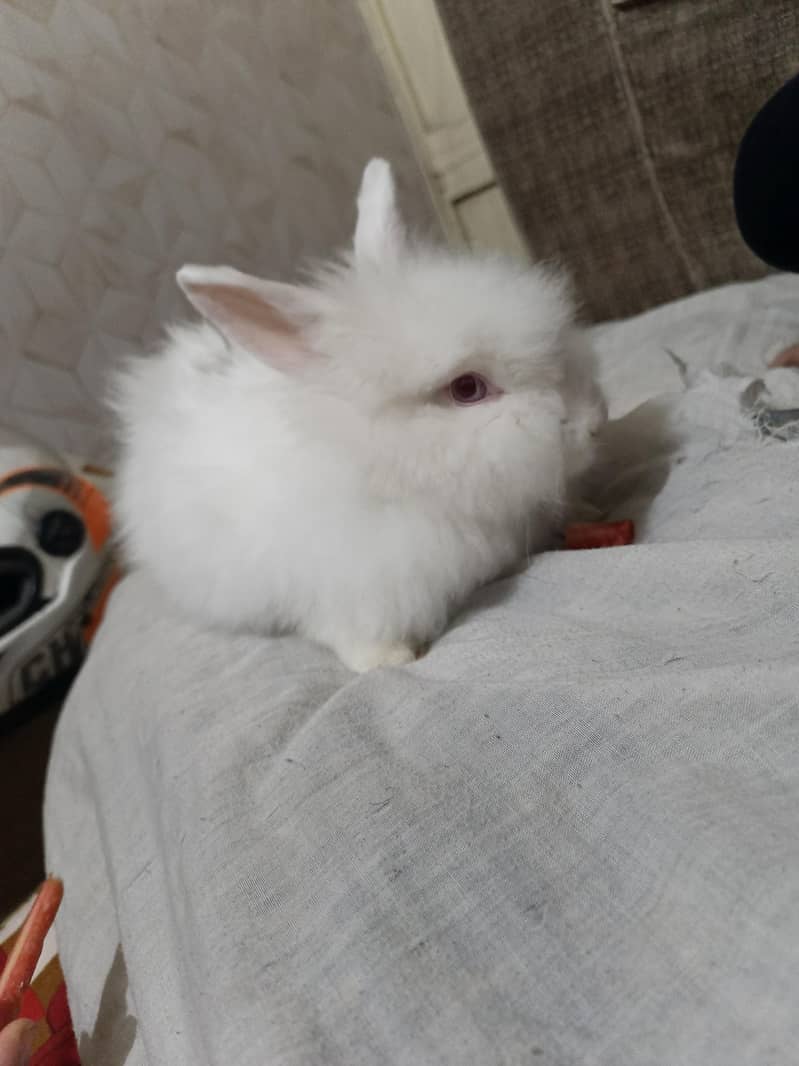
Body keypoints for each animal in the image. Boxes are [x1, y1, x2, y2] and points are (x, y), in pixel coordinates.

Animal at [111, 158, 606, 672]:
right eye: (467, 388)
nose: (594, 423)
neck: (380, 464)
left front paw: (587, 513)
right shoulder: (348, 588)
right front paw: (390, 660)